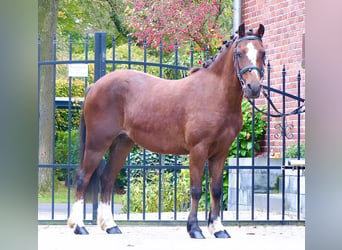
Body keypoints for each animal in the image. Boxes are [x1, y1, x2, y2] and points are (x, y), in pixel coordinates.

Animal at [67, 23, 264, 238]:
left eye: (262, 53)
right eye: (239, 53)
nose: (253, 88)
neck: (215, 94)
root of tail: (95, 85)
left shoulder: (221, 153)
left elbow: (216, 190)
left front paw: (218, 229)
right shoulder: (198, 150)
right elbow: (196, 190)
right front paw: (194, 229)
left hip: (121, 144)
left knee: (107, 178)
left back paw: (110, 225)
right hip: (97, 143)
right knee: (82, 178)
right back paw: (79, 226)